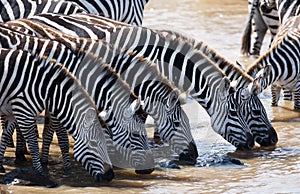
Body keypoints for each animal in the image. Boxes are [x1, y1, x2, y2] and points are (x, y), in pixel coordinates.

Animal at [0, 47, 116, 182]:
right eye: (93, 144)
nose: (110, 176)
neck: (45, 88)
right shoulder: (24, 112)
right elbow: (34, 145)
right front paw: (40, 173)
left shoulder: (12, 114)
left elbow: (5, 136)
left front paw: (0, 166)